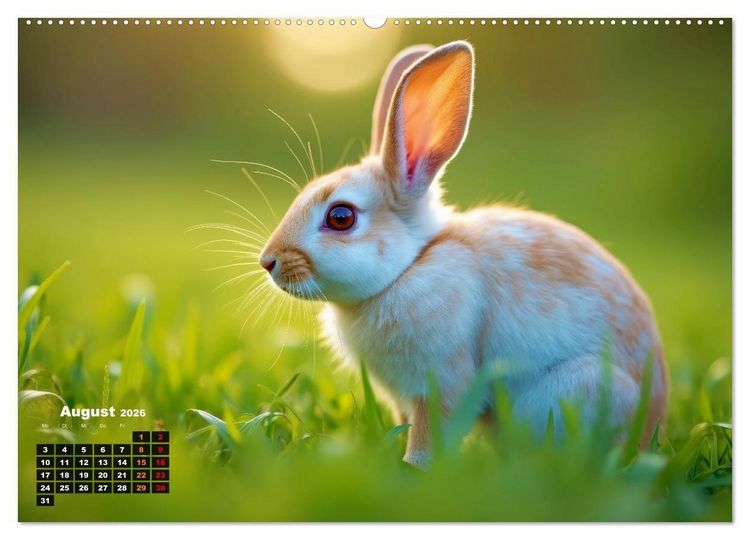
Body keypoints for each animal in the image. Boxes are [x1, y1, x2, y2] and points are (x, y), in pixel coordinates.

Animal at [258, 40, 668, 467]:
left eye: (341, 217)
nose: (268, 261)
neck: (411, 265)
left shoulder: (442, 382)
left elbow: (428, 432)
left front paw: (412, 468)